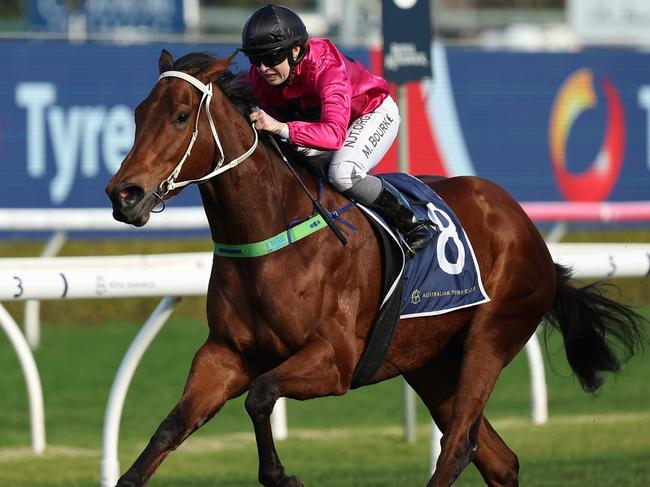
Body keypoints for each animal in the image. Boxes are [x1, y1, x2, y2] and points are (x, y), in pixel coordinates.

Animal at [105, 50, 644, 487]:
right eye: (138, 114)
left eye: (180, 116)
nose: (123, 194)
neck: (272, 234)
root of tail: (524, 225)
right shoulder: (224, 355)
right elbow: (169, 430)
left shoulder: (335, 360)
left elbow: (259, 395)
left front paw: (282, 474)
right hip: (430, 362)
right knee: (497, 458)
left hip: (491, 337)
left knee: (457, 447)